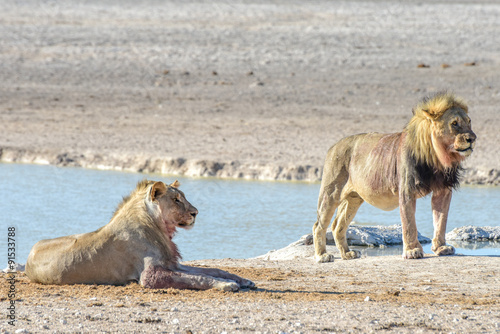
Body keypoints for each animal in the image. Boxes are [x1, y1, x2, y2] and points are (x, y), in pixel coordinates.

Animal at [25, 179, 254, 290]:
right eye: (177, 200)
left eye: (183, 197)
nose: (195, 213)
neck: (158, 227)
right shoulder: (149, 275)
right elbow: (198, 278)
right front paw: (227, 285)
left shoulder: (172, 264)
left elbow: (211, 270)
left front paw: (243, 280)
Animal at [312, 92, 476, 262]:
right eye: (454, 123)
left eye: (469, 122)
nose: (472, 138)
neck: (437, 157)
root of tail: (333, 146)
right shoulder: (407, 190)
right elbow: (409, 223)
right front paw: (412, 251)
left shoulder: (443, 190)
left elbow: (441, 220)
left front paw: (441, 248)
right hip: (331, 193)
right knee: (318, 225)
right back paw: (322, 255)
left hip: (353, 198)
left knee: (338, 225)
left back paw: (347, 254)